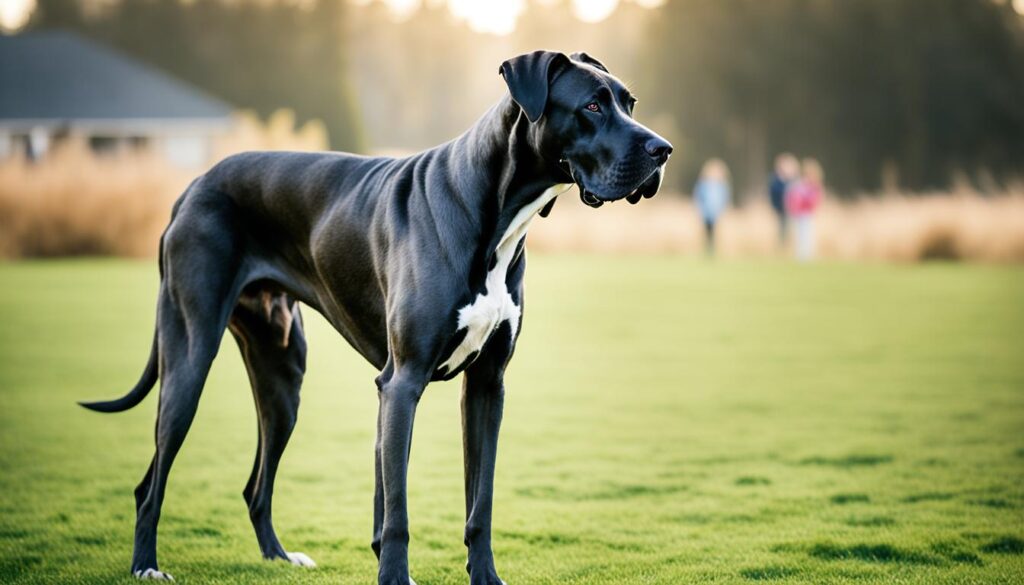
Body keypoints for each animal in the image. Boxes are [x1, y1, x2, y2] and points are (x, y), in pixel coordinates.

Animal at [81, 51, 671, 585]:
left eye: (630, 103)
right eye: (592, 104)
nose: (662, 150)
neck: (495, 213)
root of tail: (192, 185)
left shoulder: (487, 387)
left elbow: (478, 502)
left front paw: (485, 577)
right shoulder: (402, 383)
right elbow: (398, 510)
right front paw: (395, 575)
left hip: (283, 378)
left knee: (257, 485)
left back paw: (279, 557)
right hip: (190, 358)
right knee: (151, 481)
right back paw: (146, 564)